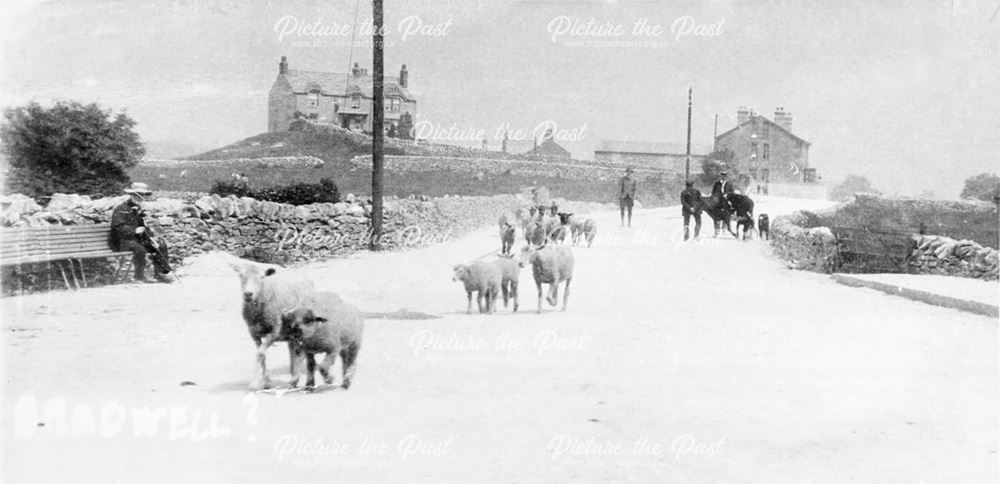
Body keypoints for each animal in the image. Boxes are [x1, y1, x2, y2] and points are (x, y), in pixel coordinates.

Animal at [228, 260, 314, 392]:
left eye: (262, 277)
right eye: (241, 276)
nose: (248, 294)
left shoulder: (274, 331)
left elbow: (260, 354)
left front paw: (254, 383)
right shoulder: (253, 333)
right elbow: (262, 354)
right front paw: (267, 382)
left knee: (302, 351)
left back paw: (296, 379)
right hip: (291, 333)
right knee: (293, 350)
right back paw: (293, 378)